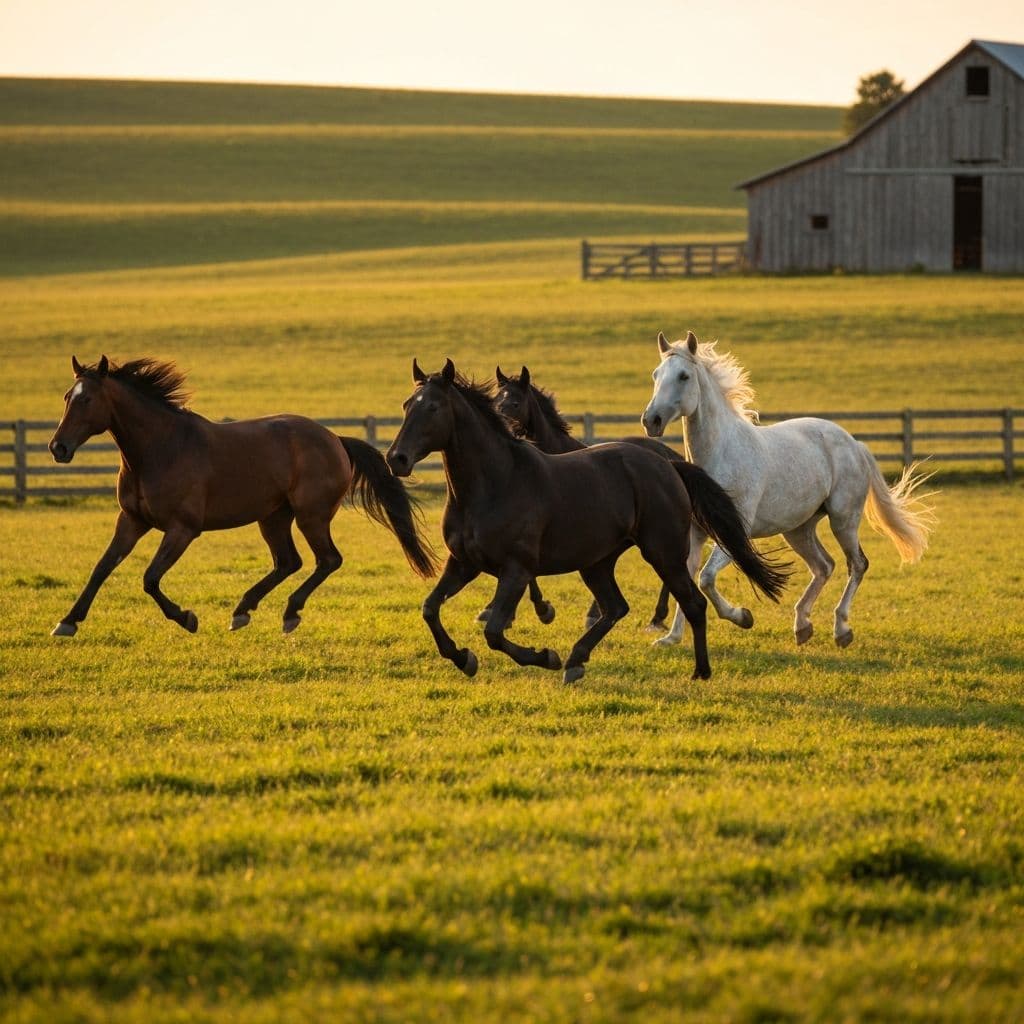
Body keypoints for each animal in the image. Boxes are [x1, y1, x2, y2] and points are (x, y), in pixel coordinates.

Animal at [48, 355, 436, 637]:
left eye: (87, 399)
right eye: (67, 397)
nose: (58, 447)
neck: (159, 449)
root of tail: (335, 439)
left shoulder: (183, 529)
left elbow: (150, 578)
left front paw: (187, 618)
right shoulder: (132, 520)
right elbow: (102, 568)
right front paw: (67, 621)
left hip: (311, 516)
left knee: (327, 559)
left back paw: (289, 613)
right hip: (274, 517)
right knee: (288, 562)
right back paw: (242, 611)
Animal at [385, 358, 790, 683]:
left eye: (433, 407)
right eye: (406, 405)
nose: (397, 459)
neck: (494, 484)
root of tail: (668, 464)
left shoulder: (516, 569)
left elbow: (496, 632)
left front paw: (544, 655)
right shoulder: (464, 563)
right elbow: (430, 609)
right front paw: (463, 658)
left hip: (661, 552)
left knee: (692, 603)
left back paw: (699, 670)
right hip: (597, 562)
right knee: (615, 607)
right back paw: (577, 661)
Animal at [641, 331, 936, 648]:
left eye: (684, 376)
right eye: (656, 374)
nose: (651, 420)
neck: (721, 455)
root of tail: (854, 444)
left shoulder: (735, 533)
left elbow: (706, 578)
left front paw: (742, 617)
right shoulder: (697, 532)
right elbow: (688, 577)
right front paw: (671, 638)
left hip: (843, 520)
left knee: (857, 564)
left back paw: (841, 630)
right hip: (798, 529)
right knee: (824, 566)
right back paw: (802, 626)